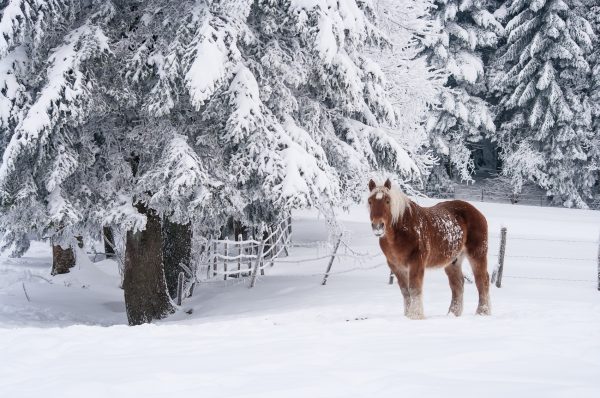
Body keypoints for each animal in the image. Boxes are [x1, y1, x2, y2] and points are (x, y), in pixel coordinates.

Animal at [368, 179, 490, 318]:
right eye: (370, 201)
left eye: (388, 201)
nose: (378, 226)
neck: (402, 231)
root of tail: (477, 212)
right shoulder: (396, 266)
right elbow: (405, 291)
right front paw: (408, 315)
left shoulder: (416, 263)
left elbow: (414, 289)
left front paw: (415, 316)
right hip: (453, 261)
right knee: (458, 285)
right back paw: (453, 314)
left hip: (477, 254)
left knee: (482, 281)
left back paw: (482, 312)